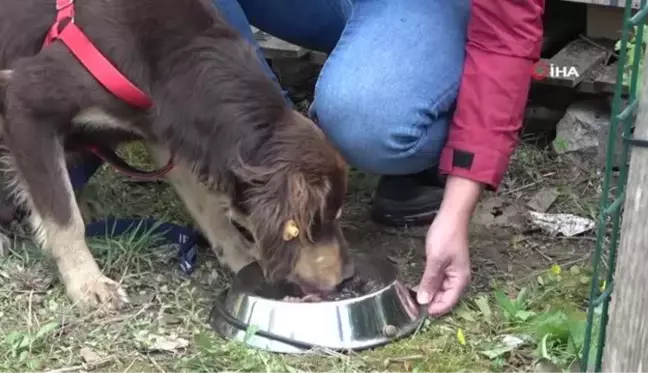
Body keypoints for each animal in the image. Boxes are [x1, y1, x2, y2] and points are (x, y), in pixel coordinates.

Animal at [0, 0, 352, 308]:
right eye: (321, 220)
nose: (347, 277)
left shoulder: (164, 134)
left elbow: (208, 207)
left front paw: (240, 255)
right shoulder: (25, 104)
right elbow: (64, 219)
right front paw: (88, 283)